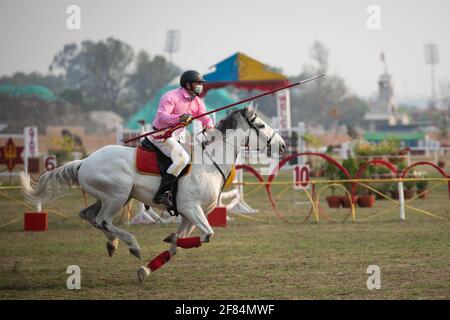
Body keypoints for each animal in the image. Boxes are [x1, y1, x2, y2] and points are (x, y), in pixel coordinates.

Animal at [21, 106, 284, 282]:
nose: (282, 145)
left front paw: (147, 268)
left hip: (110, 197)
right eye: (261, 126)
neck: (209, 163)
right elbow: (207, 235)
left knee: (89, 216)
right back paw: (131, 245)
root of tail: (84, 161)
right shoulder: (191, 209)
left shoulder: (189, 216)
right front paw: (161, 247)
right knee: (102, 220)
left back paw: (113, 244)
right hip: (117, 195)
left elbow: (177, 246)